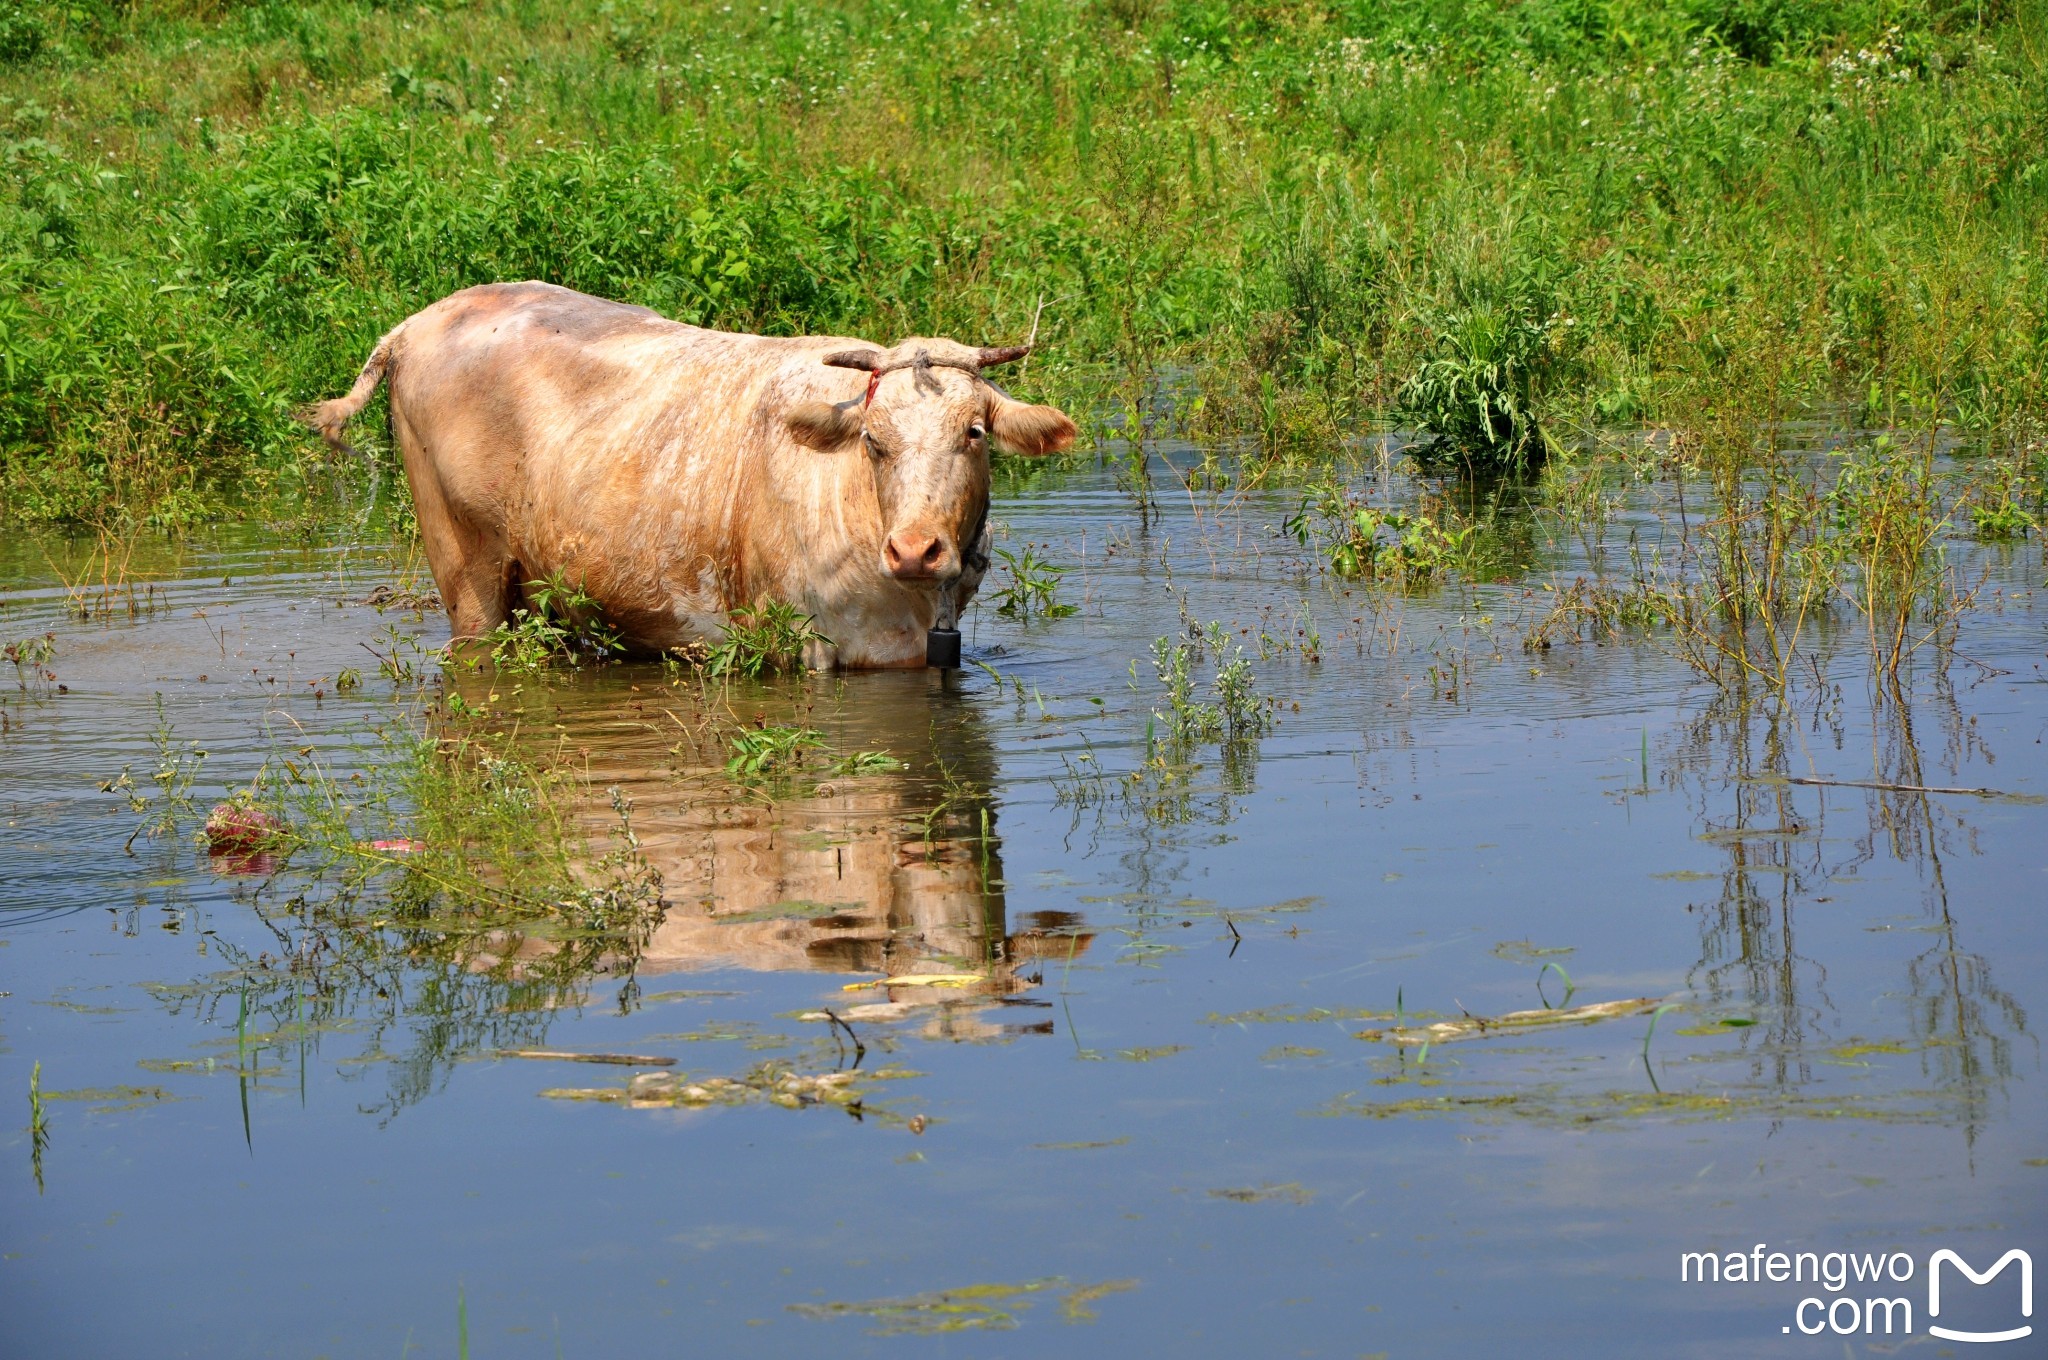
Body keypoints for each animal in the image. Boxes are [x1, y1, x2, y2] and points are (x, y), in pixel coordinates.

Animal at [311, 280, 1081, 667]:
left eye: (973, 433)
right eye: (872, 440)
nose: (916, 550)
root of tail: (420, 321)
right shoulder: (803, 644)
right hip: (467, 573)